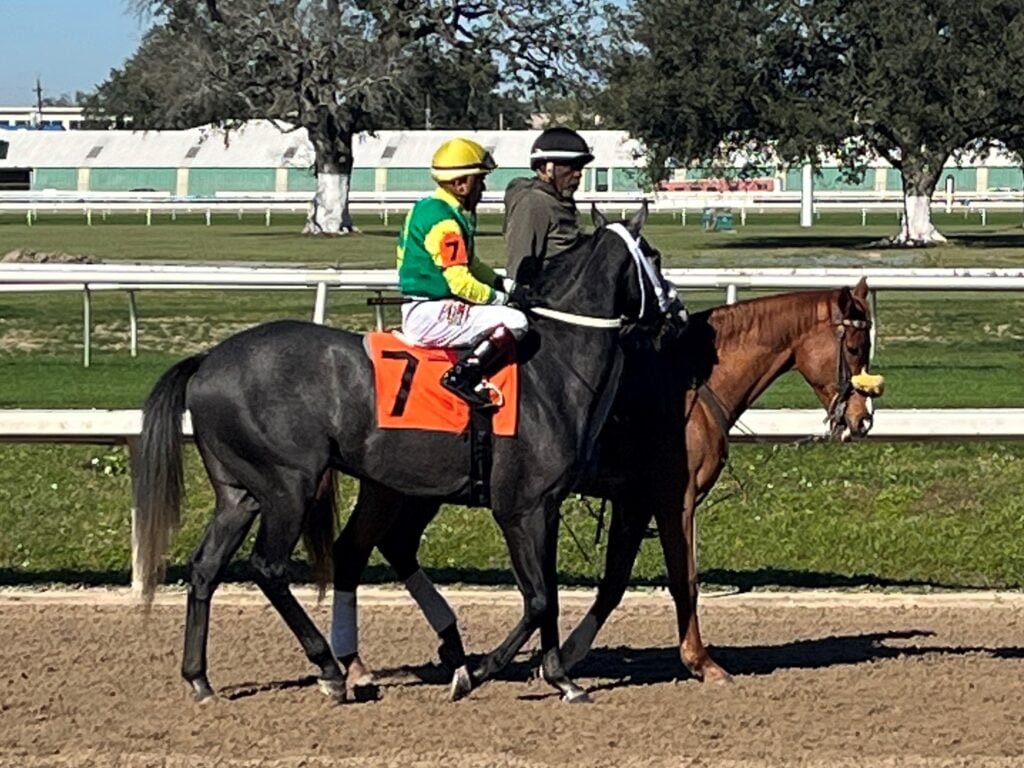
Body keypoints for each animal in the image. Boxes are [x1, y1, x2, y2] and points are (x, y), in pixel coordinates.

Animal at [136, 204, 679, 704]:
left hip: (242, 493)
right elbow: (540, 598)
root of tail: (208, 359)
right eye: (652, 255)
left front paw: (561, 677)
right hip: (287, 487)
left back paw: (201, 679)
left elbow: (548, 596)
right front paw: (477, 672)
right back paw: (331, 670)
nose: (674, 311)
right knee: (268, 567)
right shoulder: (520, 507)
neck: (552, 368)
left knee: (206, 567)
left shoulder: (546, 506)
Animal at [335, 278, 880, 692]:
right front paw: (701, 661)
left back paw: (441, 647)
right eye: (855, 346)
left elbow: (615, 582)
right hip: (396, 486)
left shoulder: (633, 503)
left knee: (391, 544)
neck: (689, 380)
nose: (862, 419)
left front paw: (567, 655)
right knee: (360, 548)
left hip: (417, 487)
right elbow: (684, 579)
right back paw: (363, 664)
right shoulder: (673, 500)